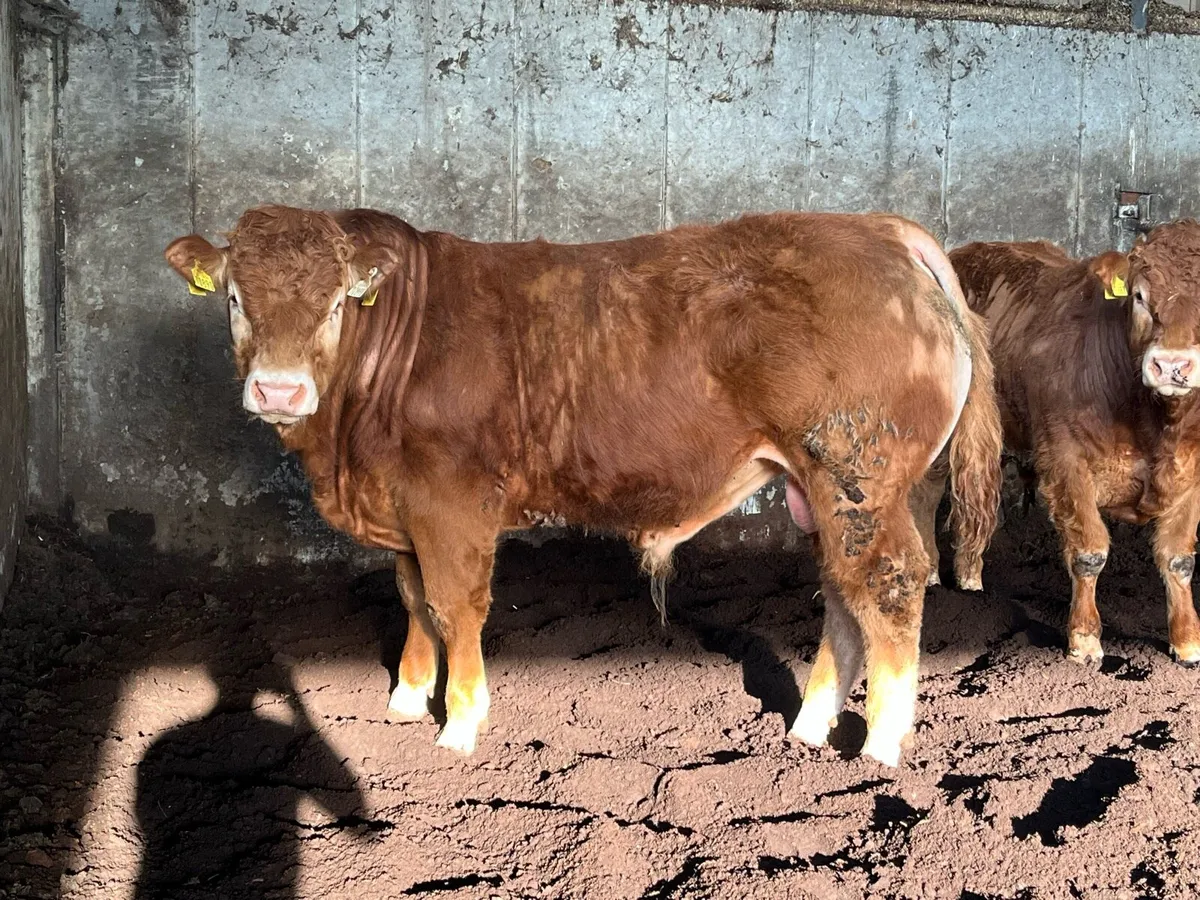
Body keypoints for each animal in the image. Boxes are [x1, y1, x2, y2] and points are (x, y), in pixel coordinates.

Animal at [165, 205, 1001, 766]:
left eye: (337, 300)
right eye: (235, 298)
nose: (278, 390)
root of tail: (880, 229)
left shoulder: (451, 502)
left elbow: (454, 606)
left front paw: (460, 724)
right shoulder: (403, 508)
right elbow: (413, 599)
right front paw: (405, 698)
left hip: (858, 477)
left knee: (889, 585)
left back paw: (880, 746)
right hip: (840, 491)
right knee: (843, 594)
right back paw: (809, 727)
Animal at [921, 222, 1200, 666]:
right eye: (1139, 296)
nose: (1171, 365)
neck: (1153, 425)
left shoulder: (1191, 472)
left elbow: (1179, 559)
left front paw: (1187, 640)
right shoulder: (1066, 461)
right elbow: (1089, 552)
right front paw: (1084, 639)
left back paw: (970, 576)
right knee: (931, 492)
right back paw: (932, 570)